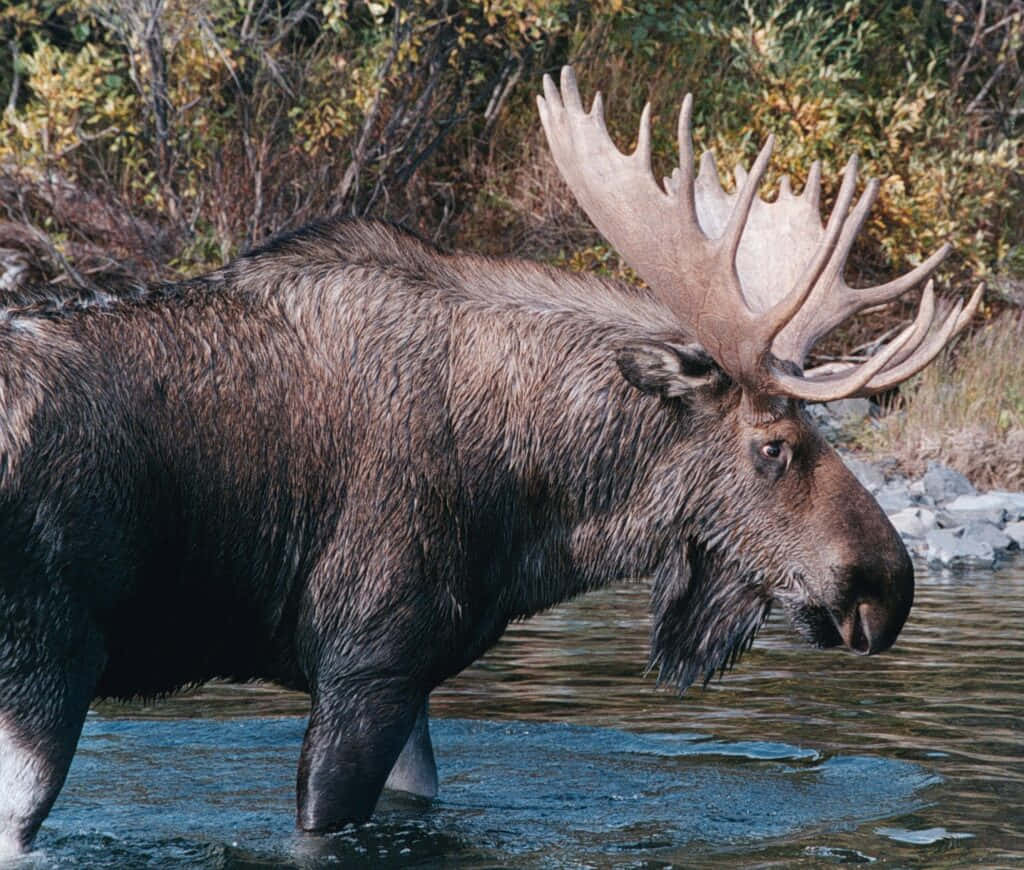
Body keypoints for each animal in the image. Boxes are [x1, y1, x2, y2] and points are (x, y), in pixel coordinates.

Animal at [0, 69, 983, 855]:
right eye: (775, 446)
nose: (884, 588)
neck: (534, 512)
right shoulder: (367, 659)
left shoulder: (408, 677)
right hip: (47, 667)